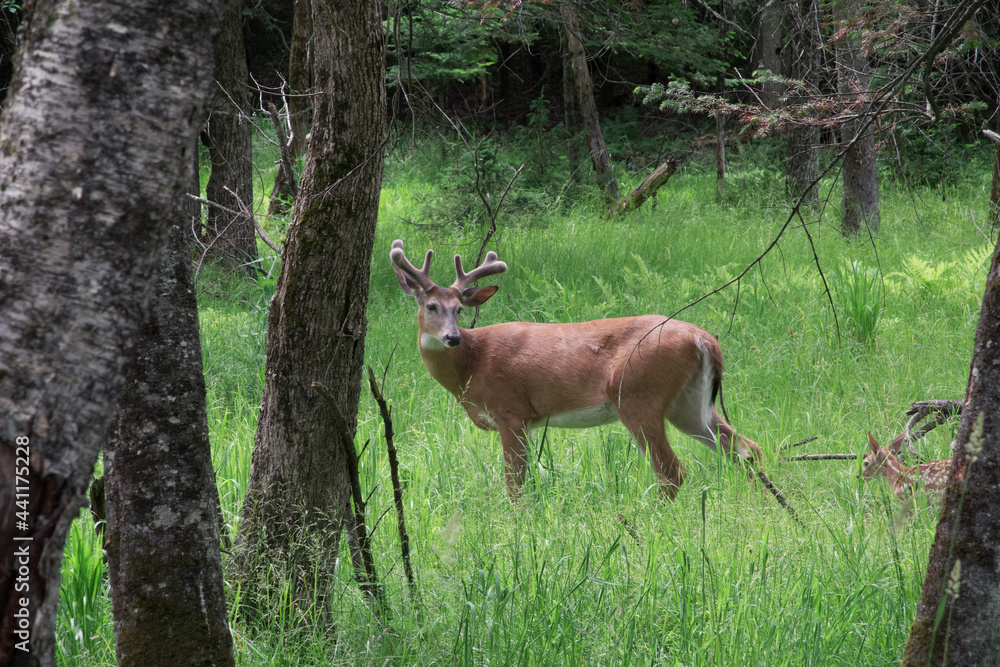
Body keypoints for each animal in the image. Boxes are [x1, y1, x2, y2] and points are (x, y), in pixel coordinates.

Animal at [390, 239, 763, 501]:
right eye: (431, 306)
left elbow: (514, 484)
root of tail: (704, 339)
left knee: (672, 471)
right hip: (687, 402)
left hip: (638, 396)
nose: (451, 337)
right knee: (747, 449)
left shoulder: (511, 411)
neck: (471, 364)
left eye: (459, 309)